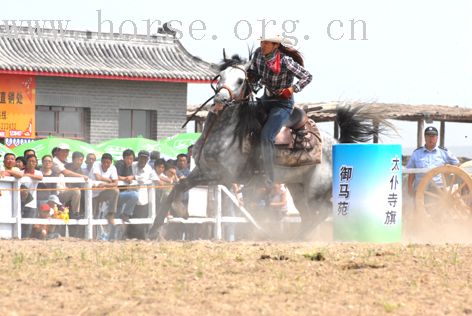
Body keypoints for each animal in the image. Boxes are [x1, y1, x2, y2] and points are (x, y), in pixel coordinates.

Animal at [151, 54, 390, 239]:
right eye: (222, 75)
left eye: (240, 80)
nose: (220, 99)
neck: (224, 131)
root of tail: (338, 144)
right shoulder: (200, 170)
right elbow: (177, 187)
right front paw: (155, 228)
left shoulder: (221, 176)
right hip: (297, 188)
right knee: (309, 216)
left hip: (315, 192)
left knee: (320, 214)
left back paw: (292, 238)